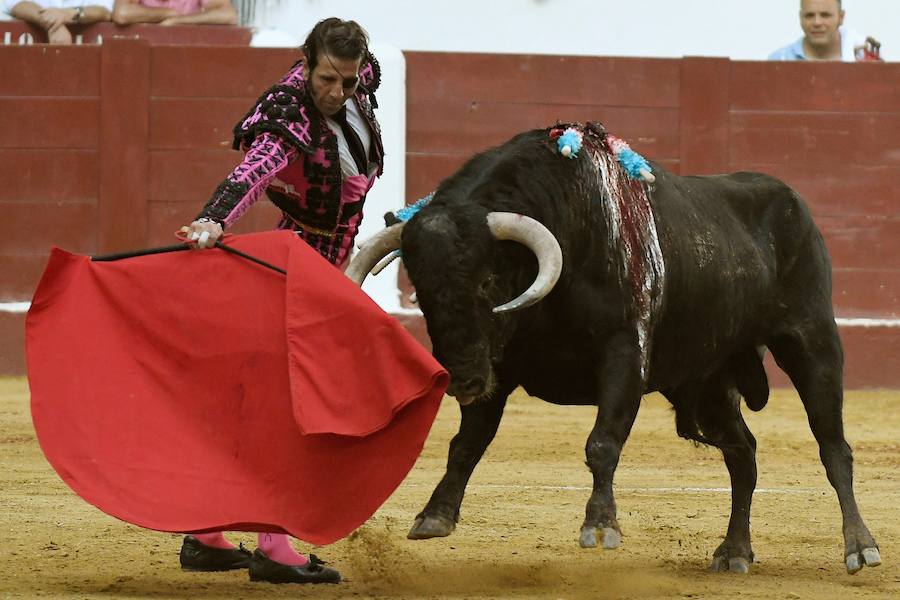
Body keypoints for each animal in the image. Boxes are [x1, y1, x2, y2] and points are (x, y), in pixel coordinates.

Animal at [344, 123, 880, 576]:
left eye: (489, 281)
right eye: (422, 293)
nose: (461, 379)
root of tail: (793, 203)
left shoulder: (623, 352)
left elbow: (602, 441)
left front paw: (600, 526)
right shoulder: (499, 363)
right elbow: (467, 442)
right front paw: (435, 515)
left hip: (811, 342)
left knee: (833, 447)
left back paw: (859, 546)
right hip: (706, 383)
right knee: (743, 454)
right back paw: (734, 552)